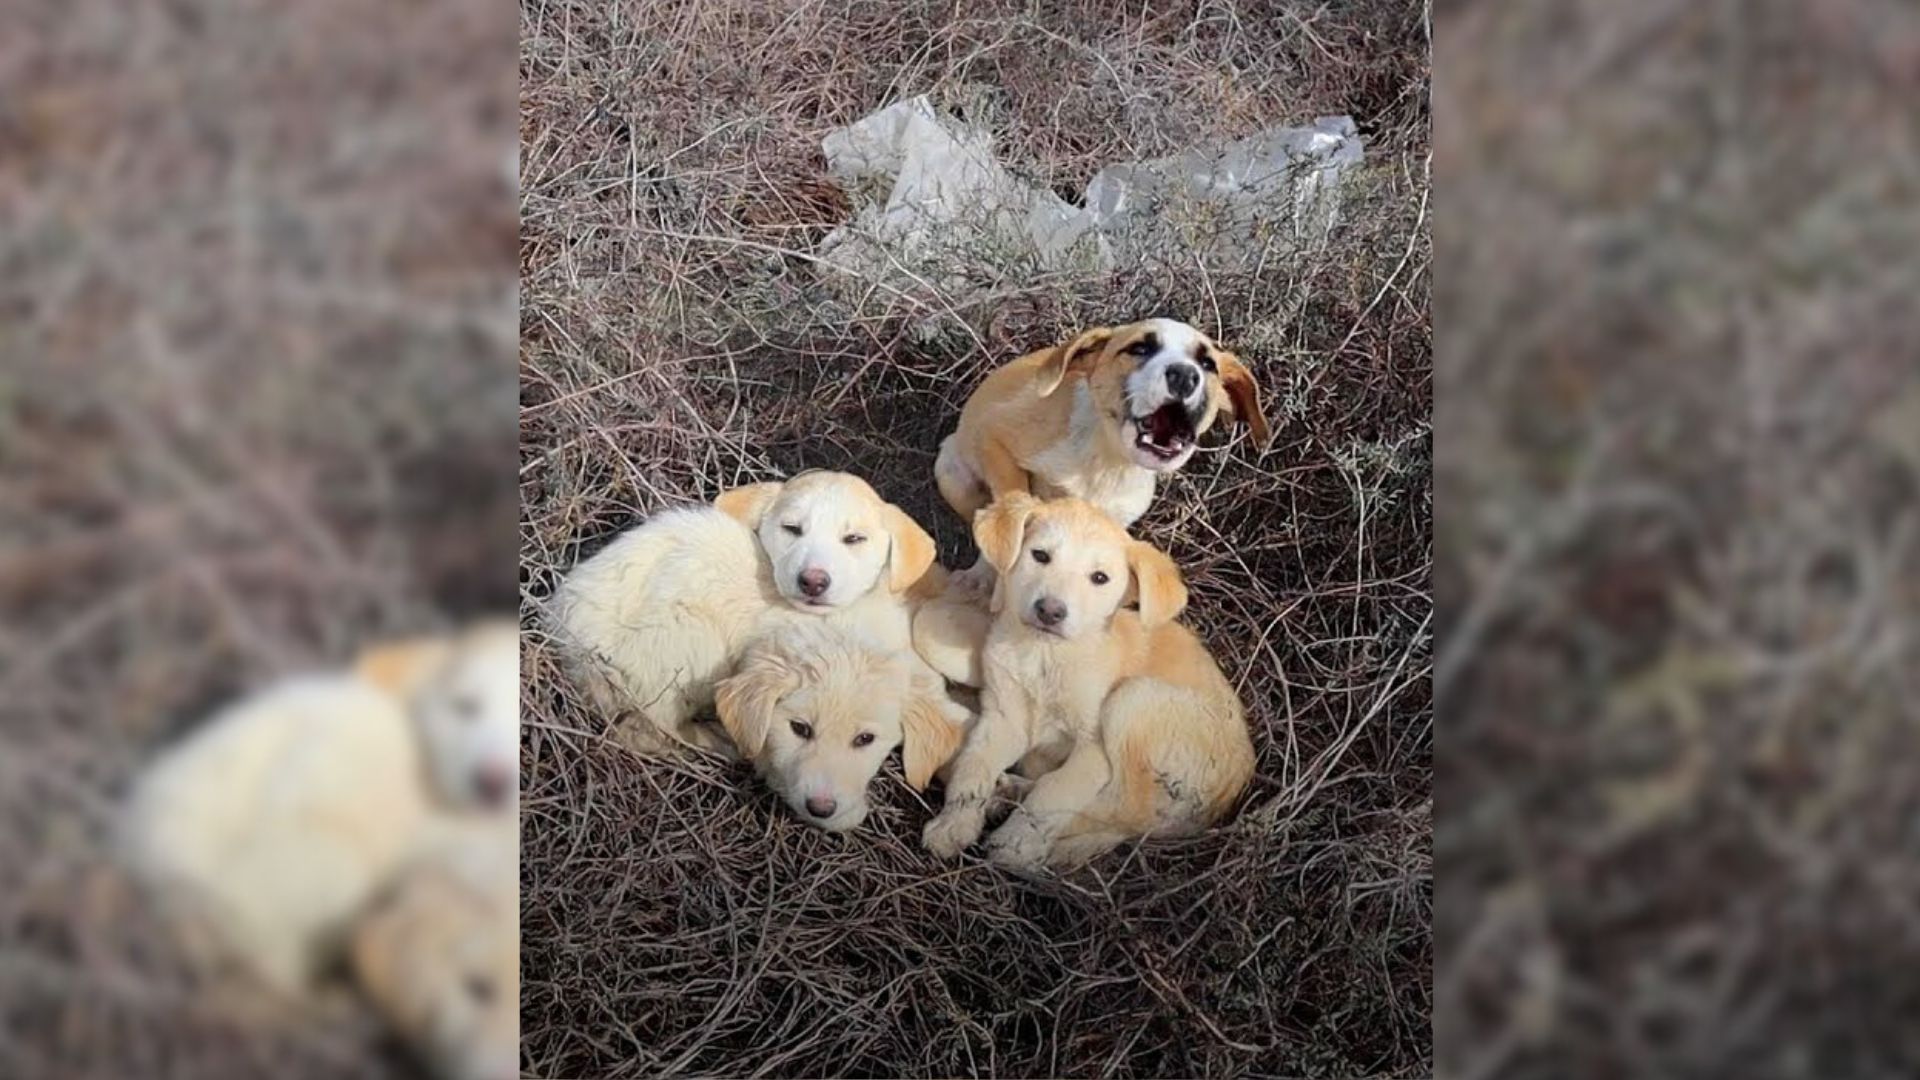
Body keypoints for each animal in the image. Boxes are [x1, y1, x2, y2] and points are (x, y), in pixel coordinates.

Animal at [552, 470, 948, 757]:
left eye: (854, 539)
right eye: (792, 529)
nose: (813, 581)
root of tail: (574, 644)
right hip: (685, 643)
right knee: (647, 728)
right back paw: (714, 740)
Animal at [917, 495, 1259, 864]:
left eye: (1099, 577)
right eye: (1040, 555)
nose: (1050, 611)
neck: (1044, 657)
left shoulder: (1092, 752)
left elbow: (1055, 792)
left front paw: (1017, 841)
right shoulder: (1004, 720)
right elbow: (973, 768)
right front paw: (953, 825)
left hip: (1133, 700)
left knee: (1121, 812)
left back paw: (1022, 835)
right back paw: (1009, 793)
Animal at [933, 313, 1267, 530]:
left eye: (1208, 364)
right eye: (1139, 348)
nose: (1185, 376)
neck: (1108, 461)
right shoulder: (994, 433)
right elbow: (1014, 497)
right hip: (952, 476)